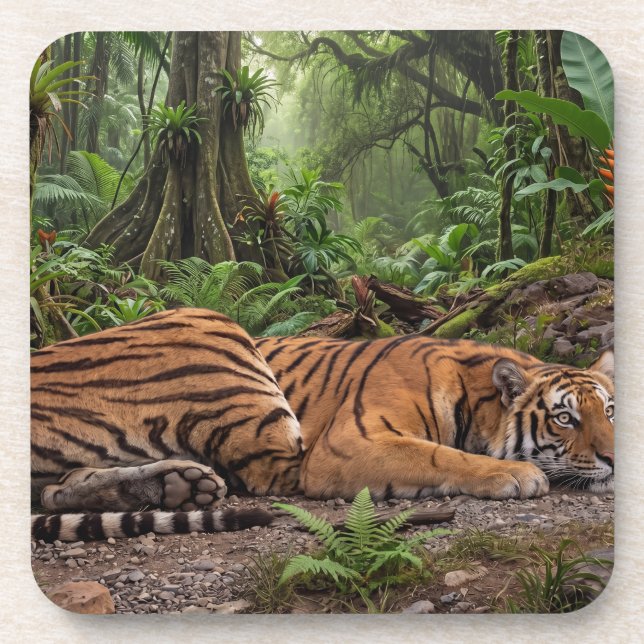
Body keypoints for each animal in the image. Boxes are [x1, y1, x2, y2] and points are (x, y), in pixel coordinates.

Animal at [255, 333, 614, 502]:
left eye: (609, 411)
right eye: (564, 418)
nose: (614, 459)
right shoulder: (346, 440)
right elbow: (438, 455)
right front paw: (517, 473)